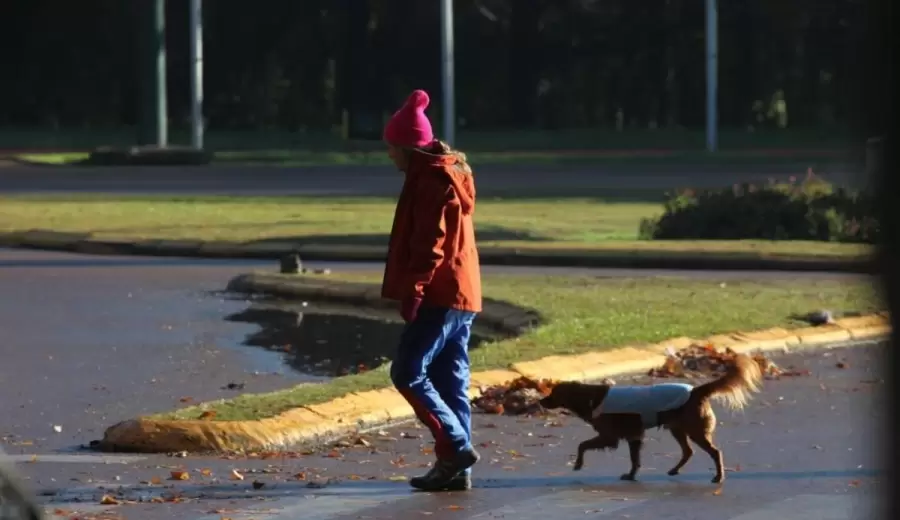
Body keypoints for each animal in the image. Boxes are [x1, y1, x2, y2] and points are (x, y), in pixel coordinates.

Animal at [536, 354, 764, 484]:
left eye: (553, 394)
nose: (540, 401)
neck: (590, 398)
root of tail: (695, 391)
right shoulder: (633, 436)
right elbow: (634, 459)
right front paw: (631, 476)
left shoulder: (610, 436)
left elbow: (582, 445)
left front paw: (578, 464)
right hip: (678, 428)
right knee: (688, 451)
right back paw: (674, 470)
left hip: (695, 430)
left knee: (715, 452)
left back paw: (718, 477)